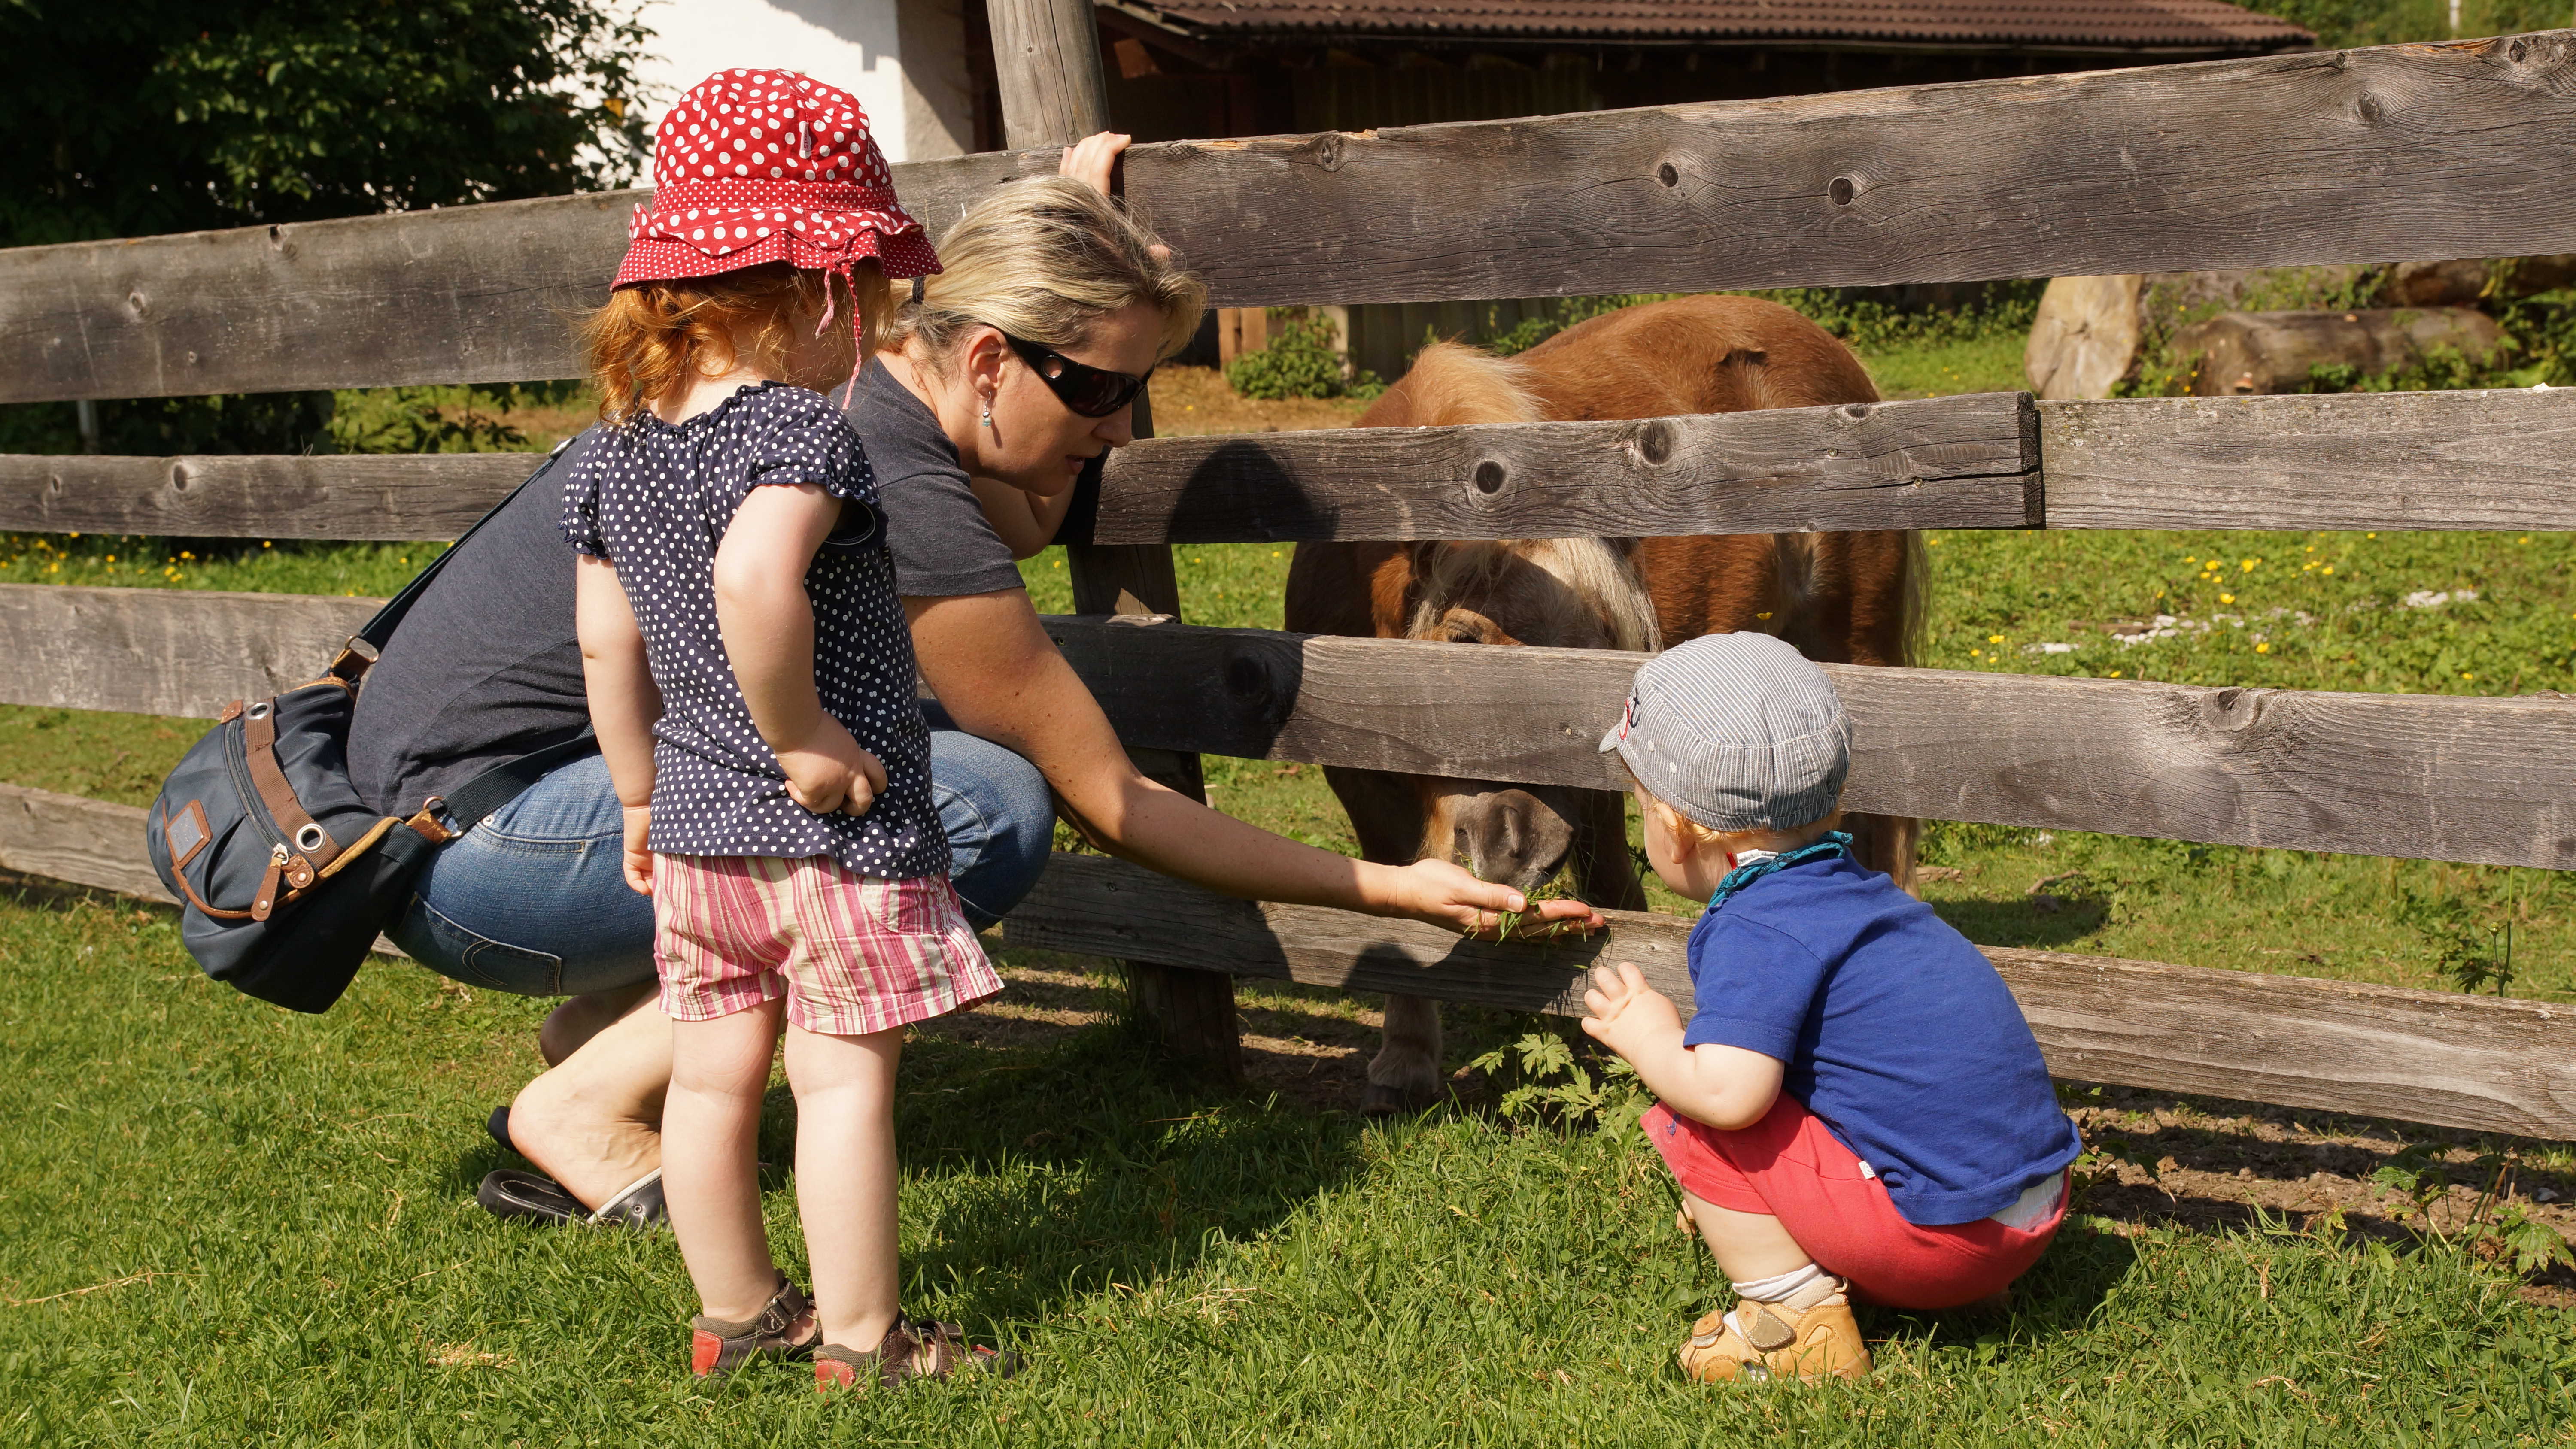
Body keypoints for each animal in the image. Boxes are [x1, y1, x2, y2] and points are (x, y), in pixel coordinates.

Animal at [1282, 294, 1924, 1113]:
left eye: (1595, 663)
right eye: (1461, 643)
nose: (1516, 847)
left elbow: (1614, 886)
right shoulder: (1361, 783)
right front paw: (1406, 1057)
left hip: (1857, 646)